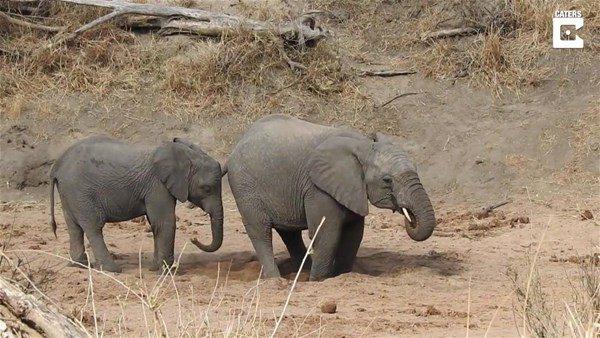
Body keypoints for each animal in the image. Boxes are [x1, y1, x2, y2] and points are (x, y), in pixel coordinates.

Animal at [49, 136, 225, 274]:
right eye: (207, 188)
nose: (194, 239)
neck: (185, 155)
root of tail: (57, 165)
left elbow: (156, 224)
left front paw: (154, 269)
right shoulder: (157, 185)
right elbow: (165, 222)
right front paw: (168, 273)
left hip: (70, 193)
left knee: (74, 227)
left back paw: (79, 266)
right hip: (81, 192)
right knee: (93, 227)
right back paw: (112, 269)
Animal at [226, 115, 436, 282]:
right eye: (387, 180)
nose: (409, 216)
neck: (363, 145)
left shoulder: (350, 188)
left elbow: (353, 234)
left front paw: (340, 275)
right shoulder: (319, 188)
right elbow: (327, 232)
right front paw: (318, 281)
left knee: (289, 234)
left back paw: (301, 273)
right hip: (245, 186)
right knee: (260, 230)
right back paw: (276, 280)